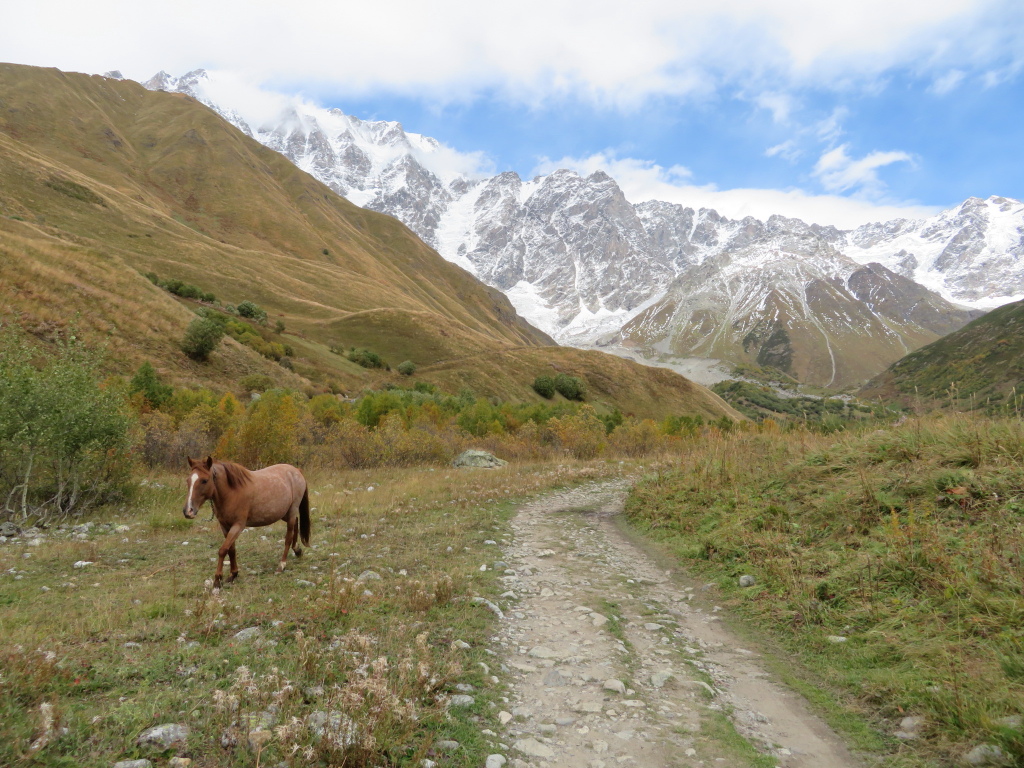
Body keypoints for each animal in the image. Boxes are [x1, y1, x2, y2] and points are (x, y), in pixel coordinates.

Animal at [184, 456, 309, 589]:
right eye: (188, 480)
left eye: (204, 480)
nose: (188, 511)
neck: (232, 492)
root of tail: (296, 470)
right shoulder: (225, 526)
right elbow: (231, 549)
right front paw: (233, 574)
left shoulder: (238, 526)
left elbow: (223, 550)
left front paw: (218, 579)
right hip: (284, 513)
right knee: (296, 523)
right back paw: (297, 550)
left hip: (291, 511)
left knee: (288, 538)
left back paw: (282, 565)